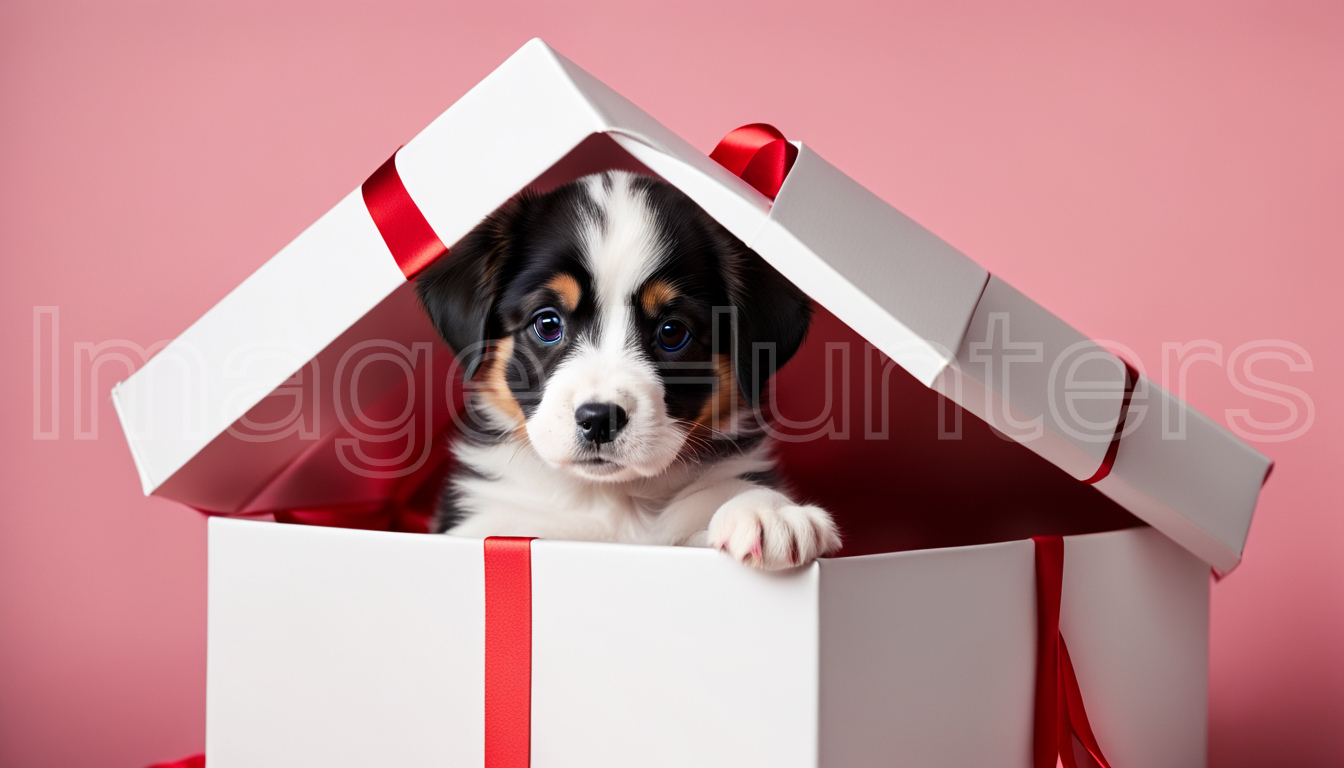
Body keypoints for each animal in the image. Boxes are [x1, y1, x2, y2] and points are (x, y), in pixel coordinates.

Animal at [416, 171, 838, 567]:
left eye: (672, 332)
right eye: (547, 323)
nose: (599, 419)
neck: (612, 499)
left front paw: (769, 511)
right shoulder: (492, 516)